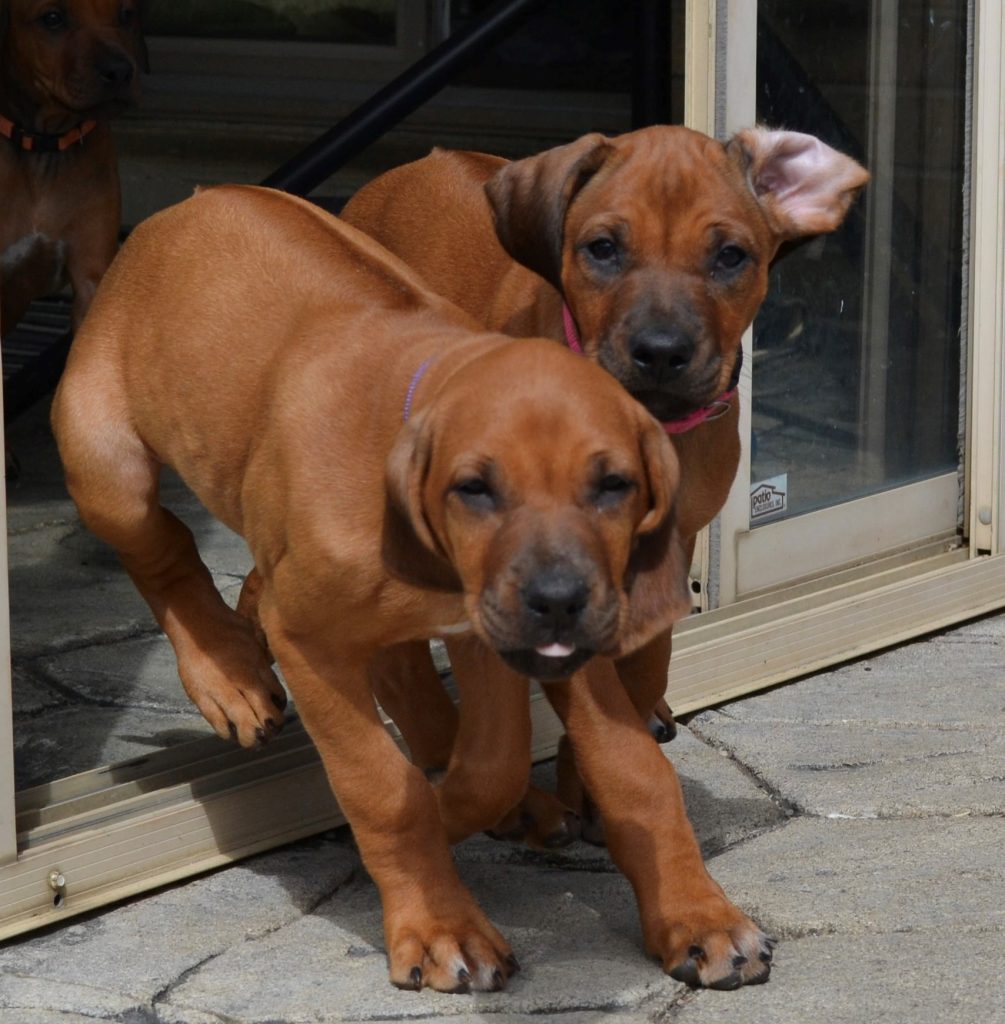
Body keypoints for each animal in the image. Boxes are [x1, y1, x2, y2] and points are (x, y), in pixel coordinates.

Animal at [51, 184, 722, 992]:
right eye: (475, 488)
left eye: (613, 485)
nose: (559, 600)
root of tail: (193, 200)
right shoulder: (309, 642)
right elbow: (382, 785)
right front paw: (440, 926)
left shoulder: (489, 636)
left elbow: (499, 762)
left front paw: (465, 811)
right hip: (105, 460)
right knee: (164, 548)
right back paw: (227, 675)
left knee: (405, 679)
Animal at [340, 125, 869, 855]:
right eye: (602, 249)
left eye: (730, 256)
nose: (660, 352)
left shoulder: (666, 546)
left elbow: (646, 664)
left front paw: (592, 773)